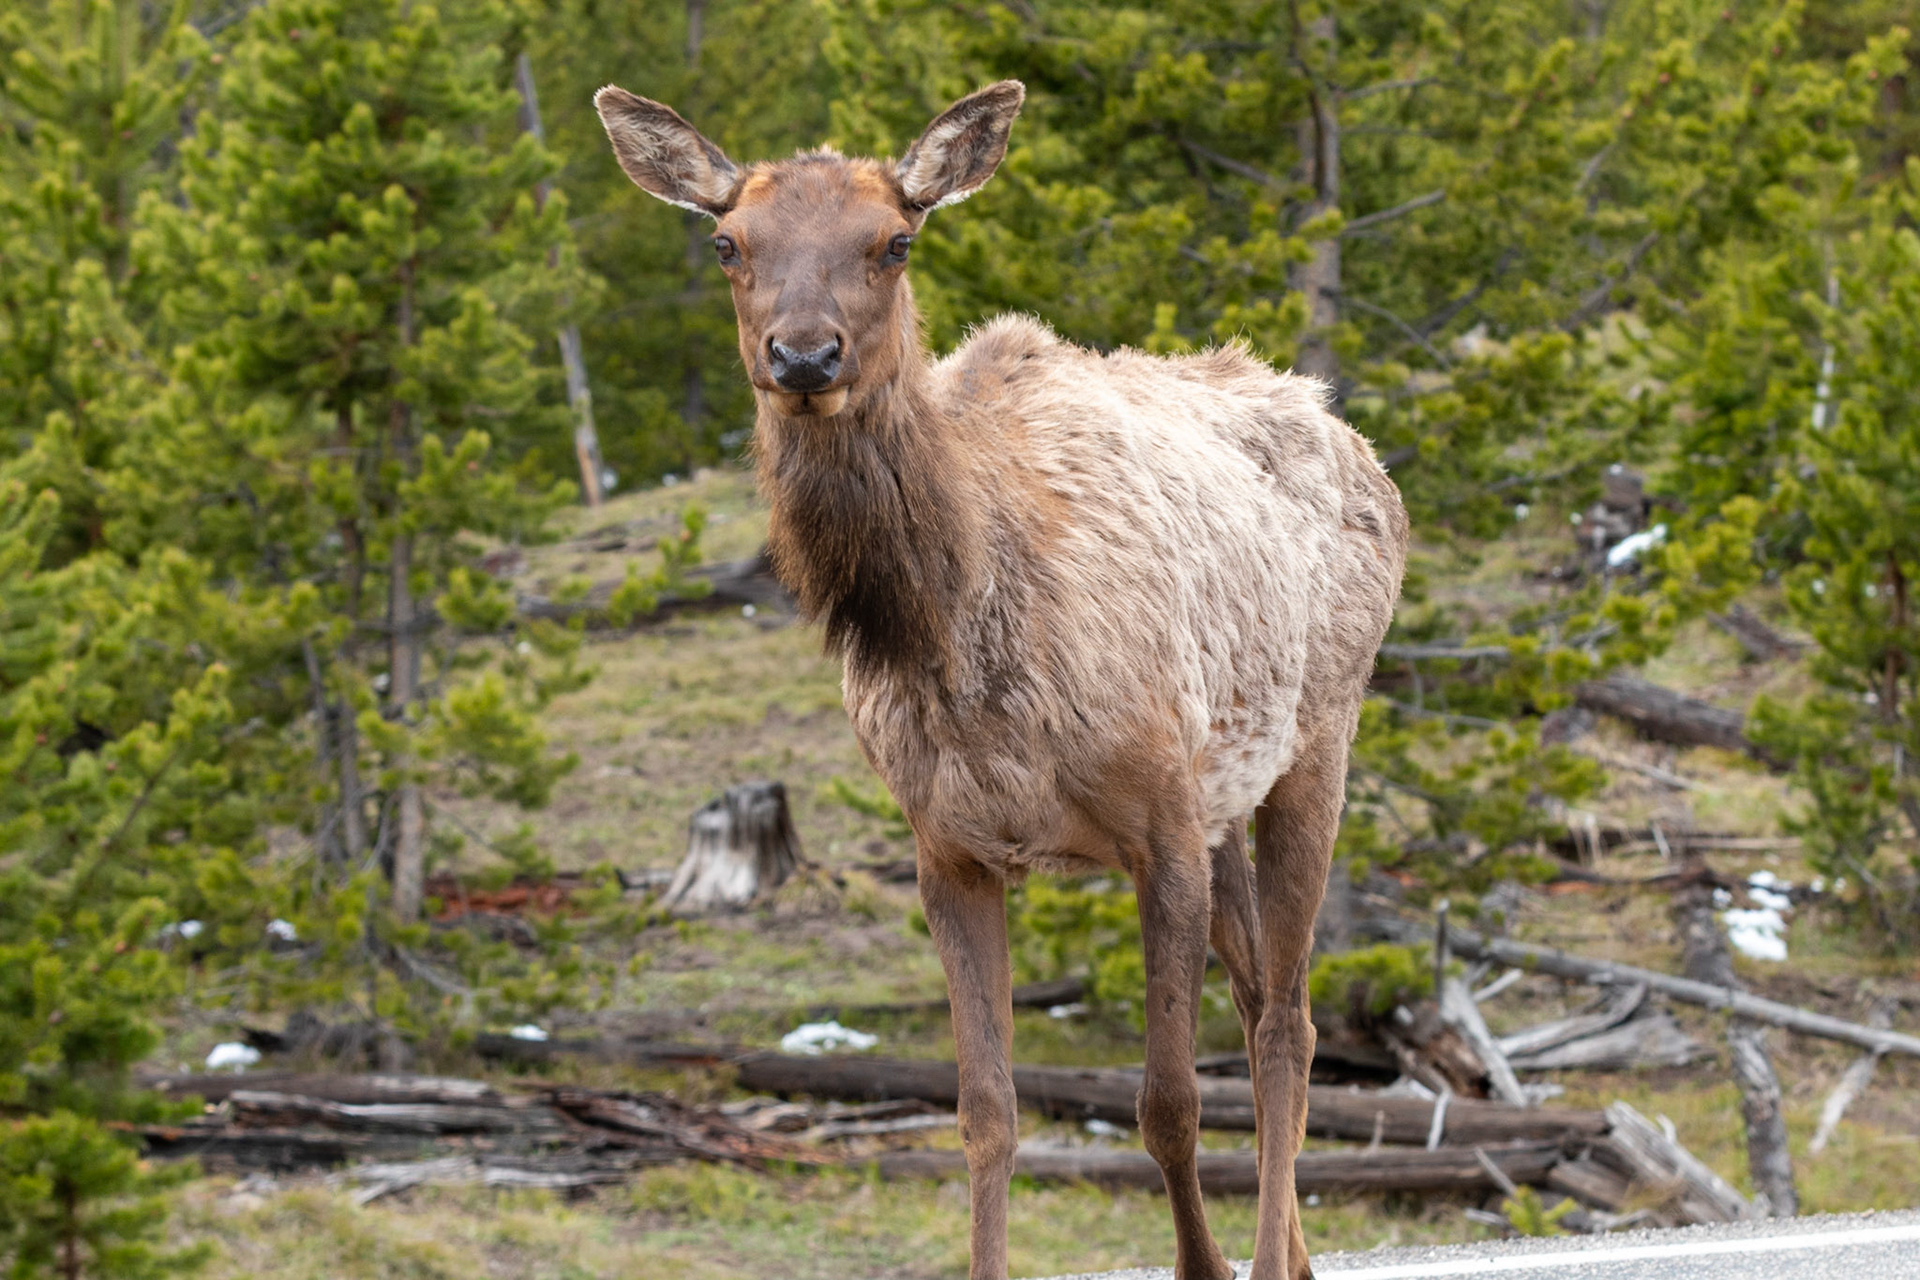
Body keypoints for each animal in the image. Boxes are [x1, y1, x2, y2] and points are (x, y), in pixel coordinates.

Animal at [596, 79, 1407, 1280]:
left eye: (894, 240)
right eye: (728, 243)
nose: (804, 356)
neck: (955, 651)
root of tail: (1356, 441)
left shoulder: (1161, 828)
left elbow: (1167, 1105)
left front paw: (1206, 1264)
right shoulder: (950, 850)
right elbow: (987, 1114)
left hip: (1317, 742)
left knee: (1288, 1022)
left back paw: (1271, 1260)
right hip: (1227, 799)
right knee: (1264, 988)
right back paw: (1298, 1253)